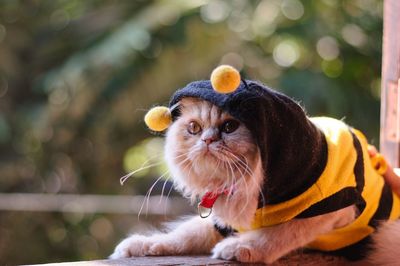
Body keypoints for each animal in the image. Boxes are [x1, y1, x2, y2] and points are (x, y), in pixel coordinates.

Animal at [111, 76, 400, 264]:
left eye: (230, 127)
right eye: (193, 128)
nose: (207, 140)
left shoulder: (332, 208)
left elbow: (280, 232)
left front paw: (240, 248)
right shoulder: (222, 220)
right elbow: (182, 236)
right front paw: (141, 245)